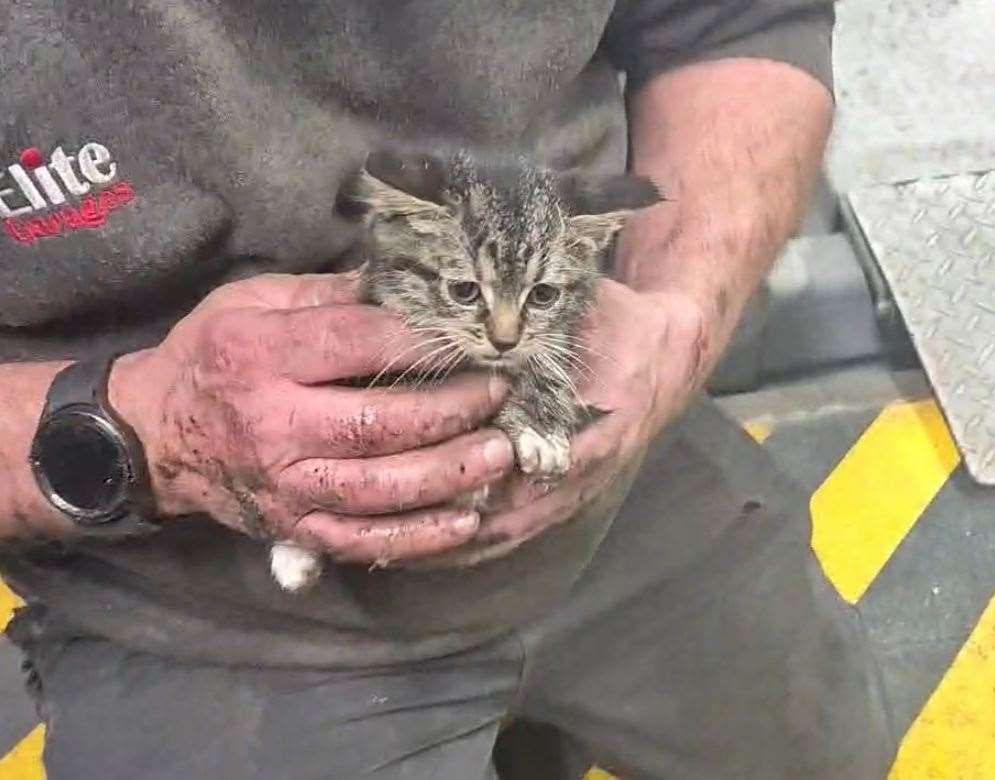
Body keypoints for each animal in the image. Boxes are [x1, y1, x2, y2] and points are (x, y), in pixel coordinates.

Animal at [270, 151, 660, 592]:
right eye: (464, 291)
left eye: (542, 295)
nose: (505, 341)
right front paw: (296, 545)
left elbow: (550, 357)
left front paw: (538, 423)